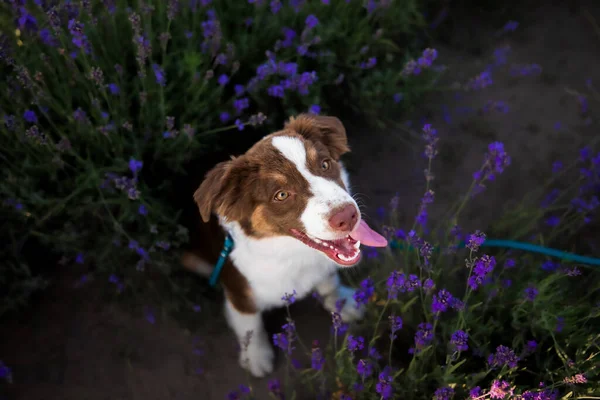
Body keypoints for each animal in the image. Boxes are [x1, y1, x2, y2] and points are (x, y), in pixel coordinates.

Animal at [180, 114, 386, 376]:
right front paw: (256, 357)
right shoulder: (239, 291)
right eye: (281, 195)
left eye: (325, 164)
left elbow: (329, 283)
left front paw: (343, 303)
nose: (348, 216)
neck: (291, 253)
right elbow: (250, 325)